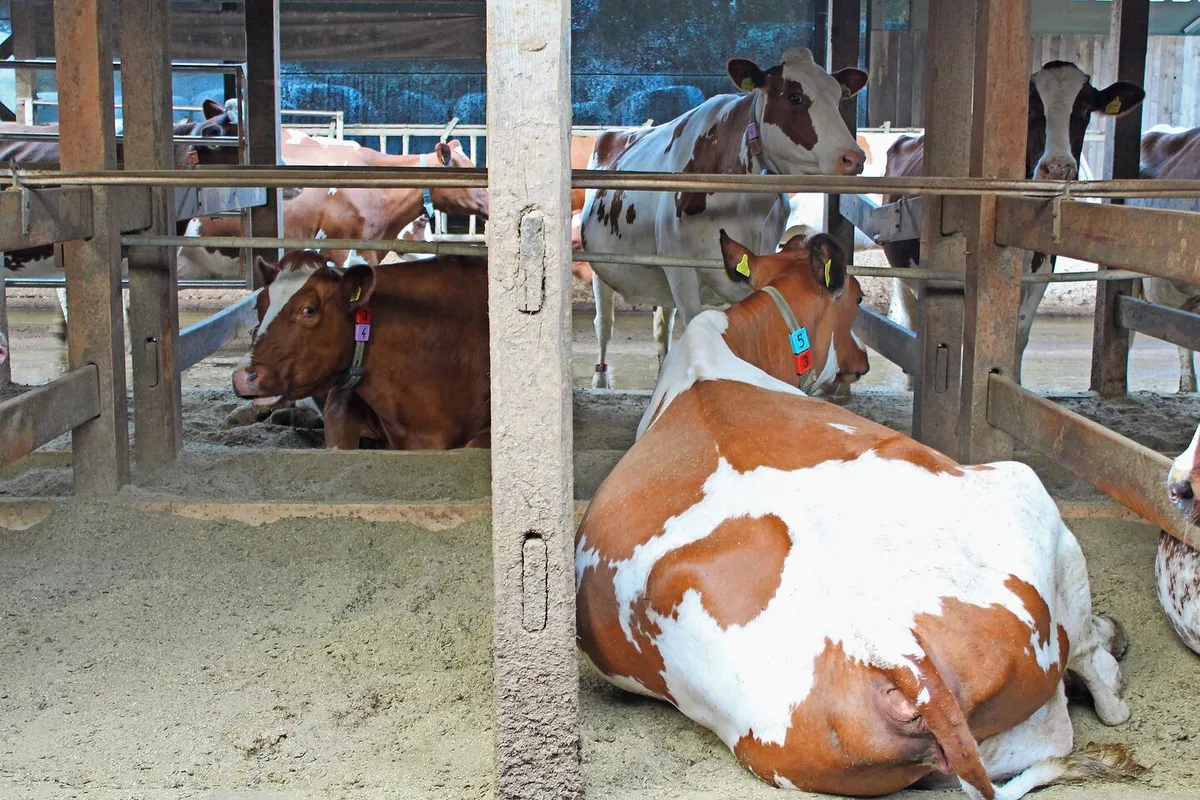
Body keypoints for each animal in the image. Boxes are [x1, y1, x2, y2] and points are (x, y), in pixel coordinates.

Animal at [576, 229, 1138, 797]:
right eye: (859, 297)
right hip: (1026, 491)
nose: (862, 361)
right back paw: (1112, 662)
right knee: (1086, 665)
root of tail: (893, 647)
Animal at [580, 46, 868, 389]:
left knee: (662, 326)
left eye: (838, 97)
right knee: (604, 324)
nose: (854, 157)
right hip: (602, 271)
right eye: (795, 97)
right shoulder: (681, 271)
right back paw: (600, 381)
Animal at [882, 62, 1145, 383]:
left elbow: (1018, 336)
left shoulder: (1040, 275)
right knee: (913, 317)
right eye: (1031, 110)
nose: (1057, 167)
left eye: (1084, 111)